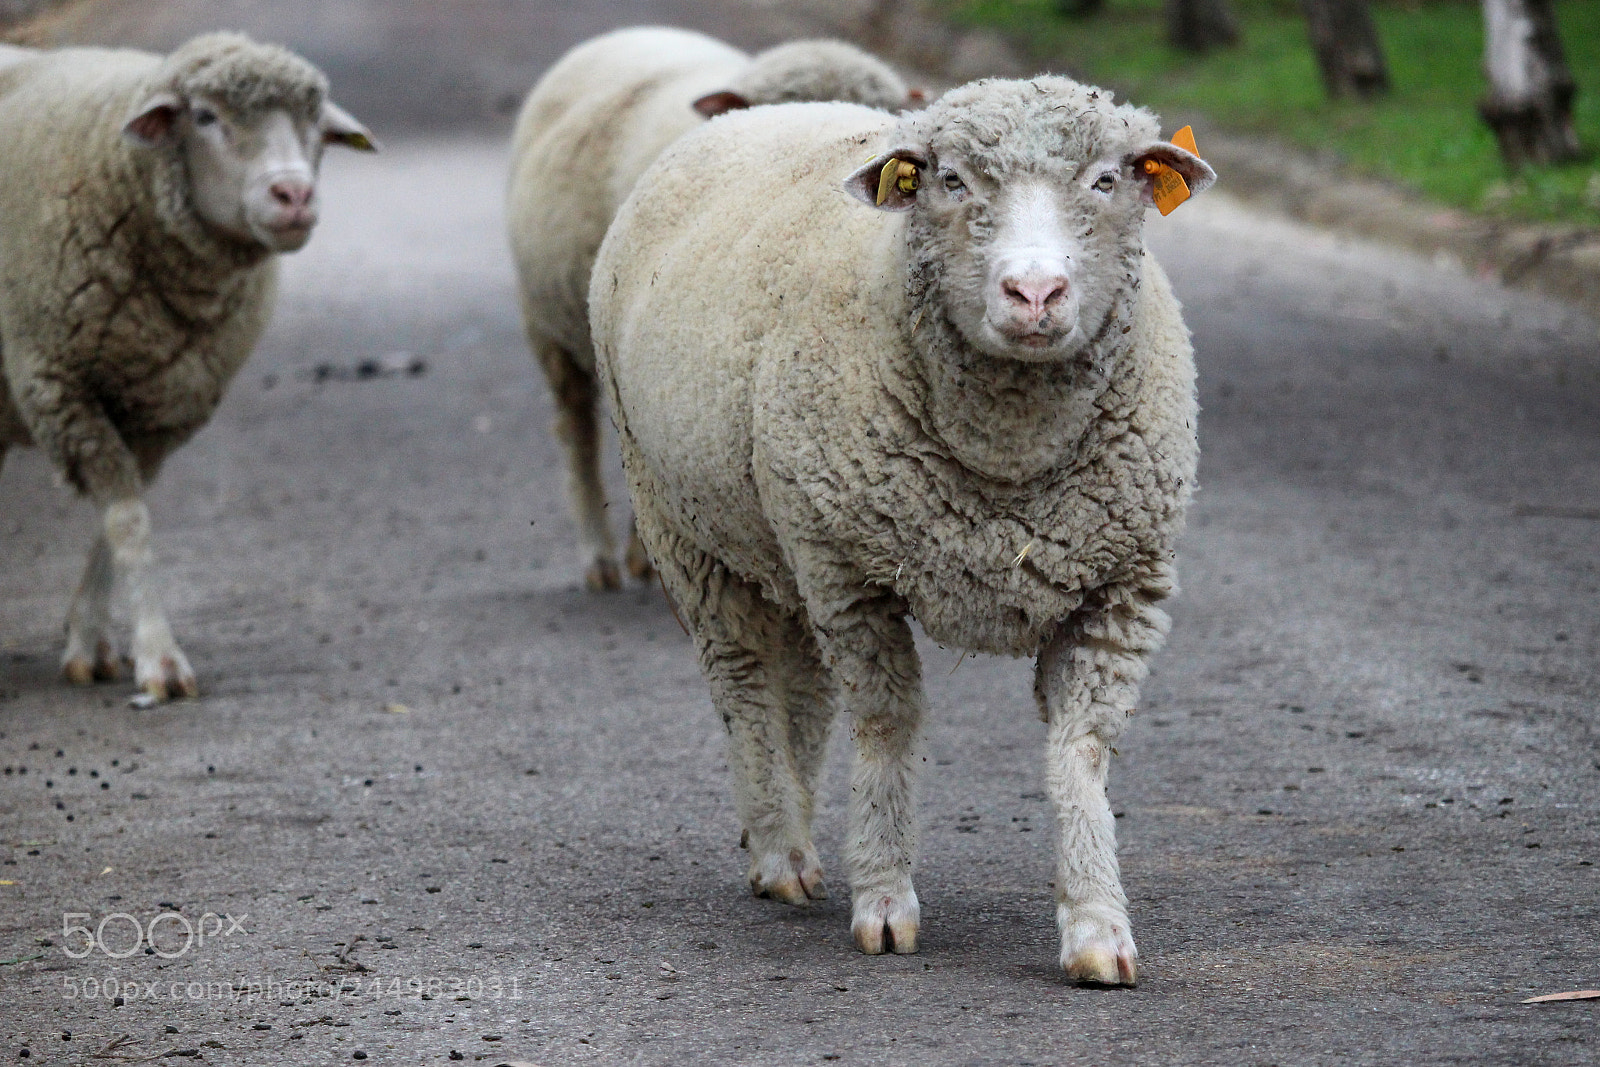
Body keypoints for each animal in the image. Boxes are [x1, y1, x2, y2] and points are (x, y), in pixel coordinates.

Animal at [0, 32, 376, 702]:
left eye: (314, 121)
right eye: (203, 117)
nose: (294, 195)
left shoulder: (161, 403)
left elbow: (116, 522)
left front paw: (89, 641)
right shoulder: (60, 385)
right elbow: (128, 522)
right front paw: (160, 659)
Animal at [590, 76, 1215, 984]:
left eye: (1106, 181)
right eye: (951, 181)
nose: (1034, 294)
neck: (1008, 455)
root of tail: (760, 112)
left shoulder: (1121, 591)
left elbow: (1082, 750)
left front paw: (1098, 926)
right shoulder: (854, 579)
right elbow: (888, 723)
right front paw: (885, 900)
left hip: (785, 537)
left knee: (804, 685)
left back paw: (801, 828)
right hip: (688, 526)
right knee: (743, 679)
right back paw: (778, 846)